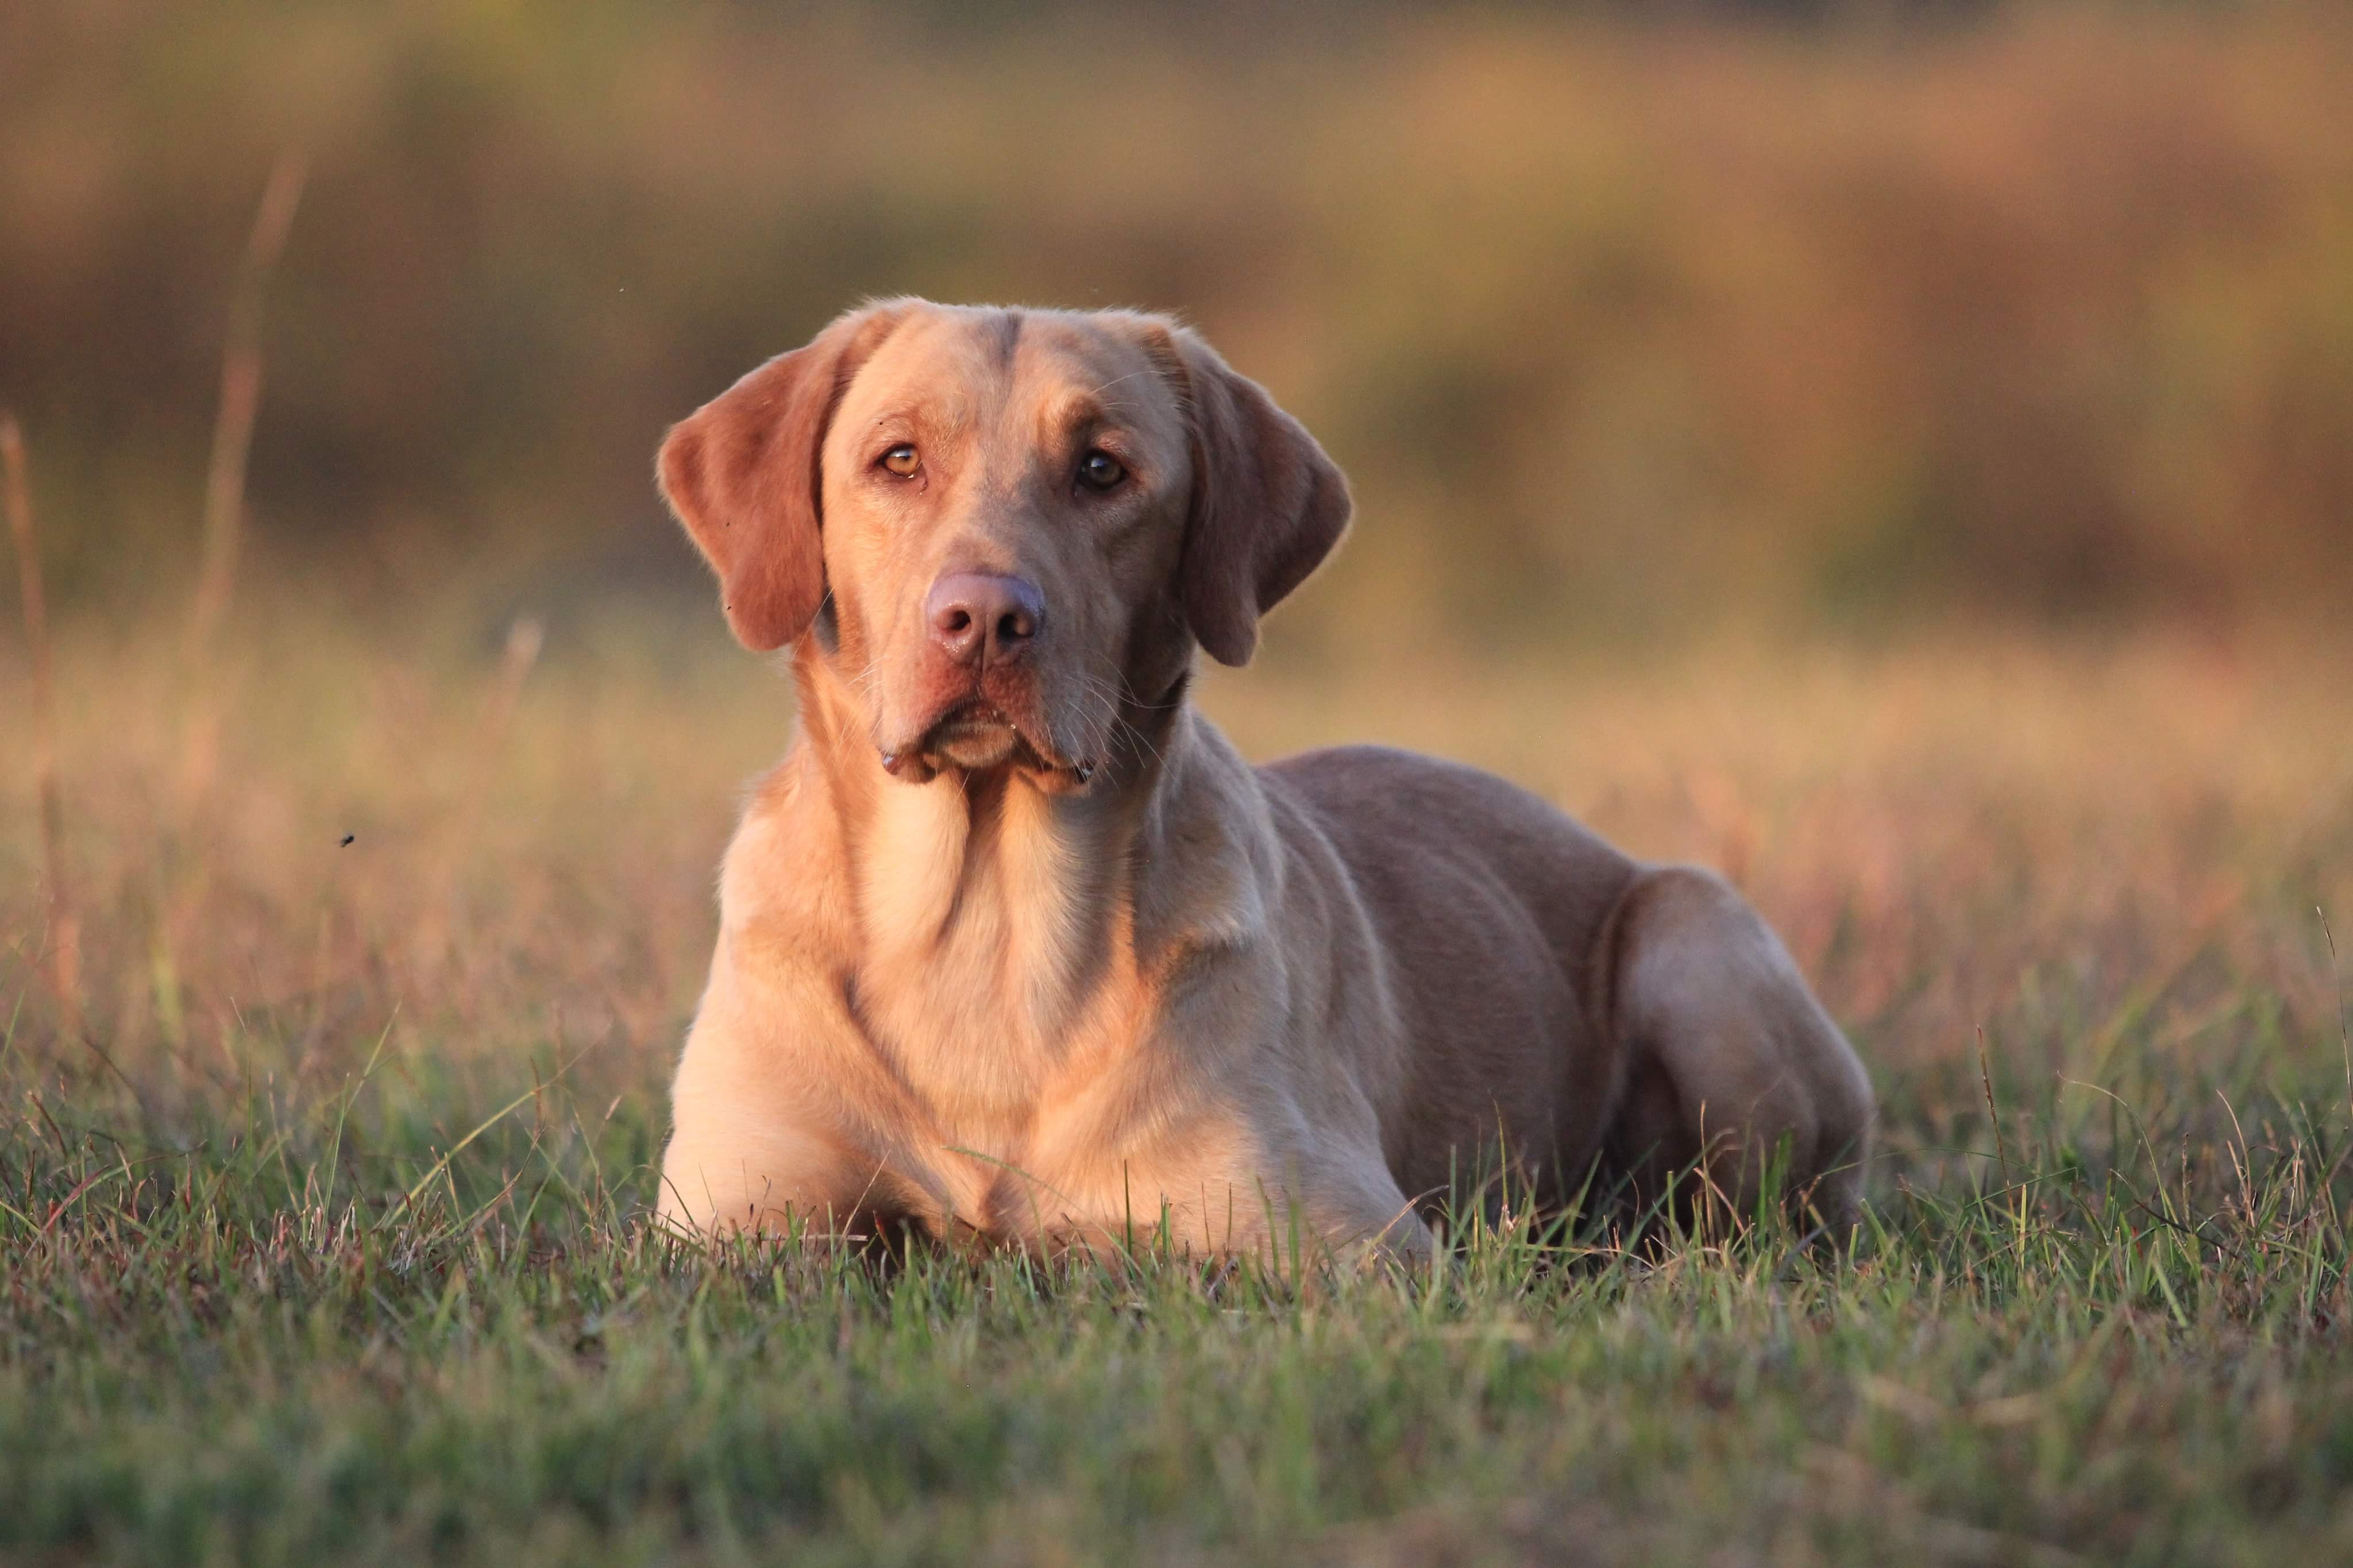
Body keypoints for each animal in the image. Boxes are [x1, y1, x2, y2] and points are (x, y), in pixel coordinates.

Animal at [649, 303, 1873, 1260]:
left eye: (1102, 470)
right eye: (897, 459)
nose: (986, 620)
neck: (981, 932)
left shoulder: (1335, 1236)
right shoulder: (724, 1224)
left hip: (1695, 936)